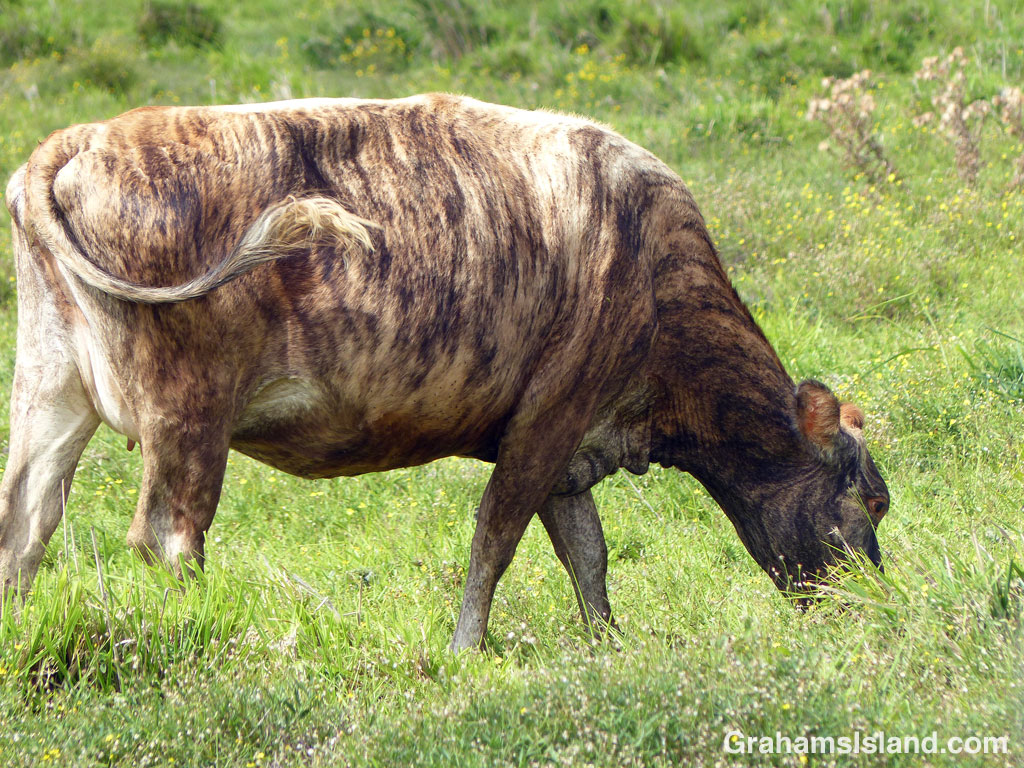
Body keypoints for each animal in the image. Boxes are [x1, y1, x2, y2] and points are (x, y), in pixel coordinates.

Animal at [1, 94, 889, 650]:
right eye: (873, 501)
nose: (880, 603)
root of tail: (78, 140)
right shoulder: (552, 414)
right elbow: (496, 536)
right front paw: (468, 647)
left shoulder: (569, 446)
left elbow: (586, 551)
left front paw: (608, 643)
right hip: (188, 412)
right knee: (169, 537)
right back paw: (197, 633)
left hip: (50, 392)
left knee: (25, 523)